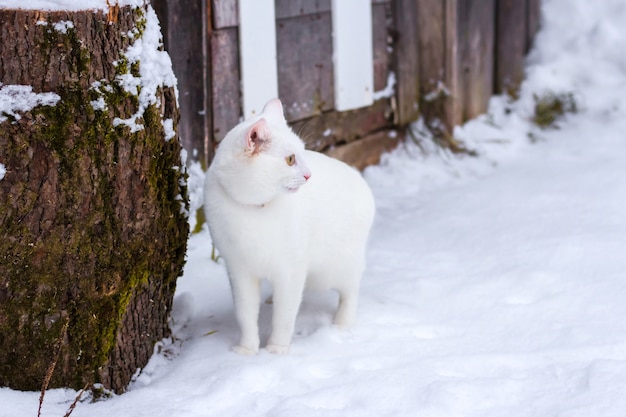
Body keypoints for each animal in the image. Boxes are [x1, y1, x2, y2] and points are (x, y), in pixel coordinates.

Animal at [202, 98, 372, 354]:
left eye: (302, 153)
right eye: (291, 159)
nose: (309, 175)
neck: (255, 210)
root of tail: (362, 183)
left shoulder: (291, 271)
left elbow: (284, 316)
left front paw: (276, 349)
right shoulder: (239, 272)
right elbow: (245, 314)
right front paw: (247, 349)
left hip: (335, 268)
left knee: (351, 290)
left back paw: (343, 323)